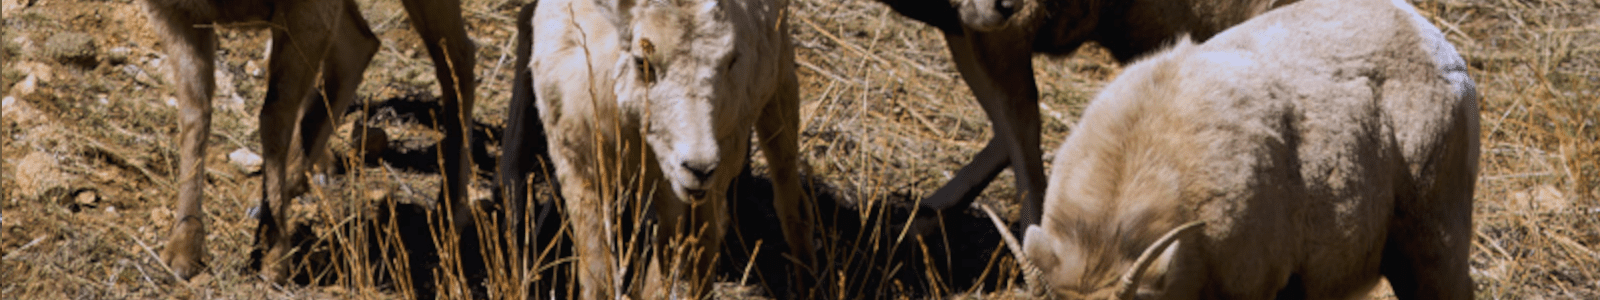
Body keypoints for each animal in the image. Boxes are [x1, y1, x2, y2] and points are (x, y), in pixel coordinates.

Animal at [143, 0, 473, 282]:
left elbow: (275, 118)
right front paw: (182, 254)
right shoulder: (176, 16)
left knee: (457, 61)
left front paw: (273, 260)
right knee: (360, 47)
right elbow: (195, 115)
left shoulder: (306, 15)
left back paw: (449, 213)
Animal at [534, 0, 819, 296]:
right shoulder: (577, 164)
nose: (700, 168)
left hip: (772, 89)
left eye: (730, 61)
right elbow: (598, 273)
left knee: (785, 206)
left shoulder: (674, 185)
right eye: (642, 62)